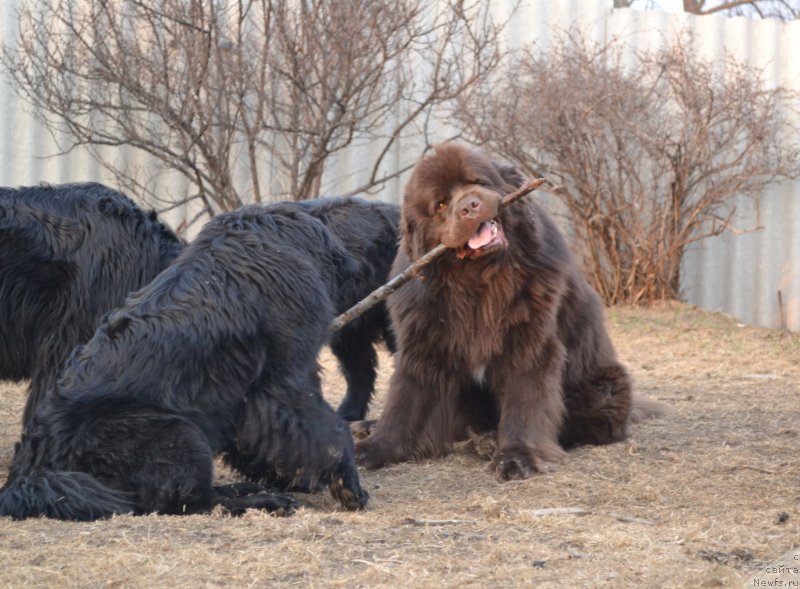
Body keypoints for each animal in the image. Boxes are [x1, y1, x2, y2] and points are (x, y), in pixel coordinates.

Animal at [358, 141, 664, 478]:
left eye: (478, 182)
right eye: (440, 204)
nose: (470, 206)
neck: (480, 281)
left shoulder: (529, 342)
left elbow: (525, 402)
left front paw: (518, 456)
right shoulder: (423, 344)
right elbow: (405, 401)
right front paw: (376, 448)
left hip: (604, 386)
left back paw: (491, 439)